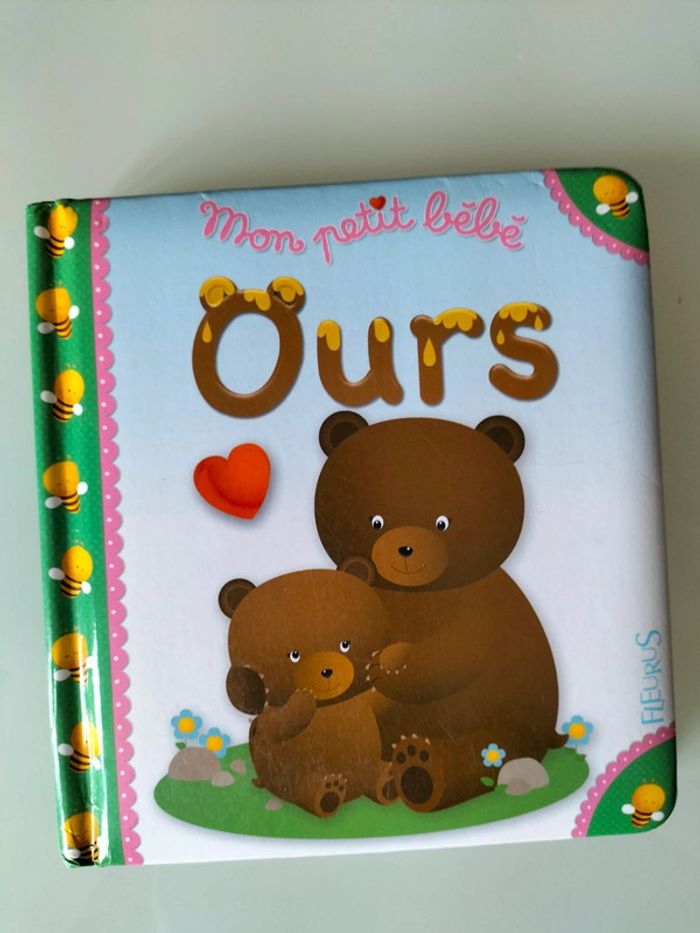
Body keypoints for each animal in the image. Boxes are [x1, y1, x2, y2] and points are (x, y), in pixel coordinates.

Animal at [220, 569, 397, 817]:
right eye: (294, 655)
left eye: (345, 645)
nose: (327, 670)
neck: (328, 704)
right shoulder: (272, 718)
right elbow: (279, 723)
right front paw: (303, 697)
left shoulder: (364, 699)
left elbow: (379, 697)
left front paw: (383, 670)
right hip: (292, 780)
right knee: (301, 790)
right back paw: (327, 793)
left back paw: (386, 779)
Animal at [314, 411, 565, 812]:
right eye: (376, 521)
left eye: (443, 522)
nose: (404, 549)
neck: (416, 592)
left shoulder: (481, 609)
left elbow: (452, 655)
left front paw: (386, 667)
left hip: (505, 723)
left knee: (489, 751)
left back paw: (420, 770)